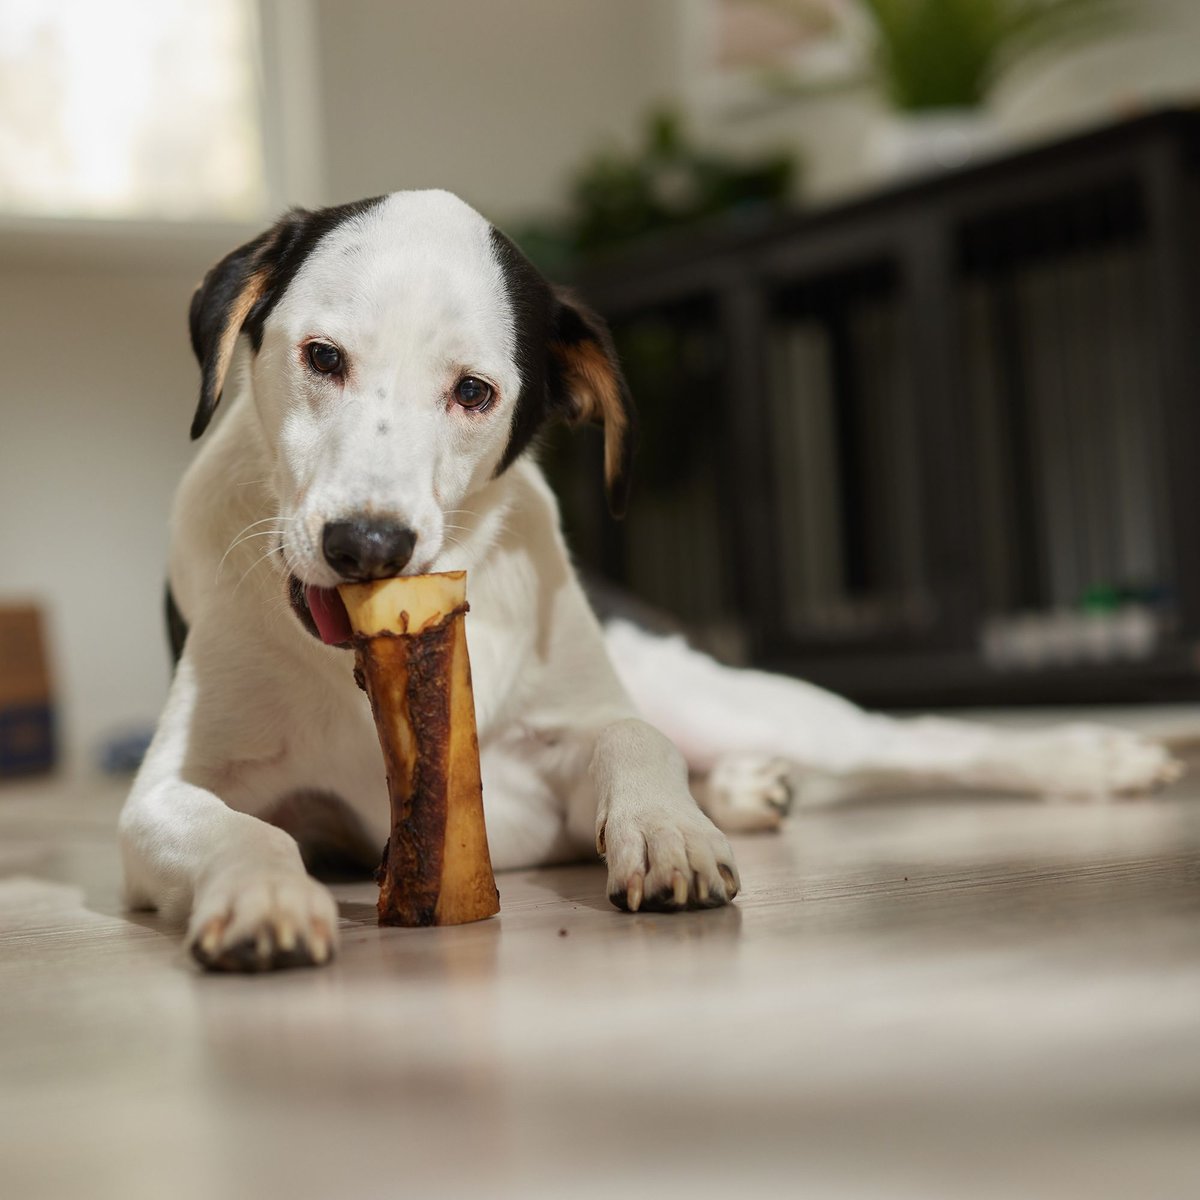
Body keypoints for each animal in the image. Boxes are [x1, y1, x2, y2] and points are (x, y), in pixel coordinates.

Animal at [117, 189, 1185, 974]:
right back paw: (750, 788)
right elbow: (239, 828)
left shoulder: (571, 729)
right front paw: (262, 891)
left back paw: (1093, 757)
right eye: (322, 357)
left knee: (916, 740)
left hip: (736, 697)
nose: (368, 545)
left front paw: (666, 830)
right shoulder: (162, 798)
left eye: (474, 392)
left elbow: (631, 737)